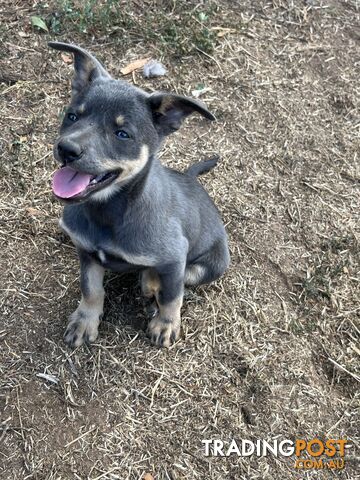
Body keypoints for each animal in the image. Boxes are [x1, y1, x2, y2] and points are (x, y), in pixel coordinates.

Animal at [49, 41, 229, 346]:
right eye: (72, 116)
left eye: (122, 134)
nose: (66, 149)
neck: (107, 212)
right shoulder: (85, 251)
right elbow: (91, 288)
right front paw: (85, 321)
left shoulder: (176, 254)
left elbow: (172, 296)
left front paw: (166, 324)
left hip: (211, 264)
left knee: (179, 278)